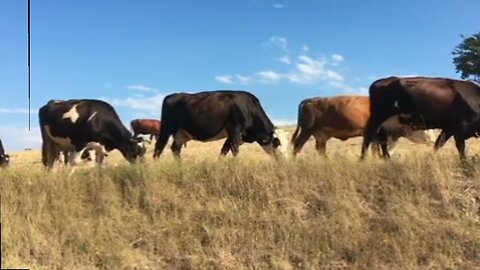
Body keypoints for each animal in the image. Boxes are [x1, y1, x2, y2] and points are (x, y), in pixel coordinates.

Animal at [152, 90, 284, 158]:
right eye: (278, 144)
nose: (285, 161)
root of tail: (171, 95)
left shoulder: (232, 135)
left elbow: (223, 151)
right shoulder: (234, 129)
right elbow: (235, 151)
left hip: (182, 133)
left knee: (175, 149)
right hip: (167, 127)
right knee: (159, 147)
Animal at [290, 95, 434, 156]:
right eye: (422, 125)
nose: (432, 139)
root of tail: (309, 100)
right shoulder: (376, 136)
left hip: (321, 136)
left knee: (320, 150)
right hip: (306, 131)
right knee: (297, 146)